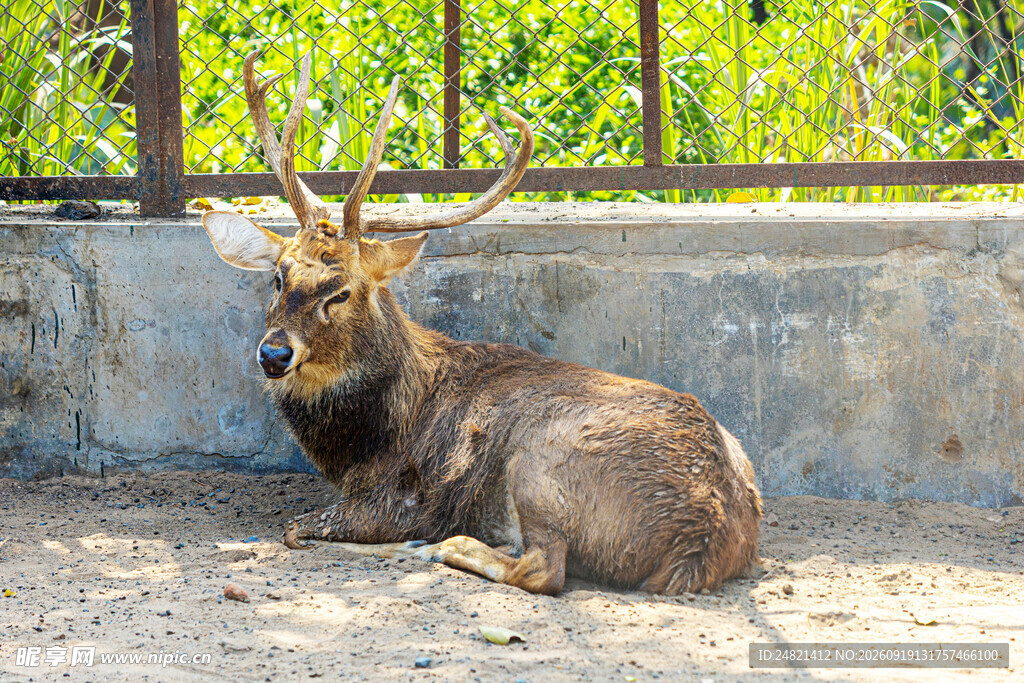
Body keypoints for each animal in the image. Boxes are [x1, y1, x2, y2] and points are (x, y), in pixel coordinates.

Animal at [199, 50, 763, 596]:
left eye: (341, 292)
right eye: (278, 277)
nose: (274, 354)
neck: (369, 437)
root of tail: (700, 542)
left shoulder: (402, 494)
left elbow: (298, 528)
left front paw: (404, 541)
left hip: (540, 460)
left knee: (543, 569)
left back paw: (437, 548)